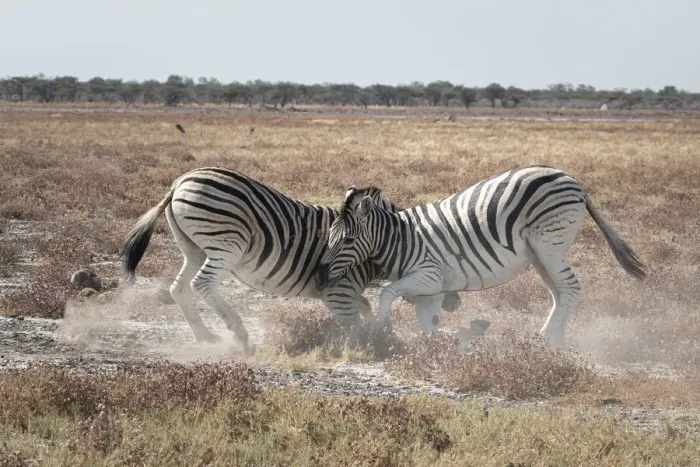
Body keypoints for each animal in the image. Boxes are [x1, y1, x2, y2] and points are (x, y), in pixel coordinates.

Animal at [120, 167, 461, 354]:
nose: (455, 303)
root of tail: (181, 180)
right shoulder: (338, 291)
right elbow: (354, 324)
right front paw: (372, 345)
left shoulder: (344, 290)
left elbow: (363, 308)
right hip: (226, 243)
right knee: (201, 284)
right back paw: (240, 335)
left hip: (193, 247)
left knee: (179, 288)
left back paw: (206, 337)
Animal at [315, 165, 646, 348]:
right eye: (328, 236)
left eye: (348, 240)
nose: (319, 276)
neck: (400, 240)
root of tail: (573, 179)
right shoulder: (432, 291)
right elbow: (428, 325)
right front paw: (438, 349)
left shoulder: (429, 274)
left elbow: (386, 293)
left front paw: (385, 331)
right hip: (540, 253)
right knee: (558, 291)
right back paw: (554, 338)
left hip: (550, 243)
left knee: (570, 287)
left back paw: (548, 338)